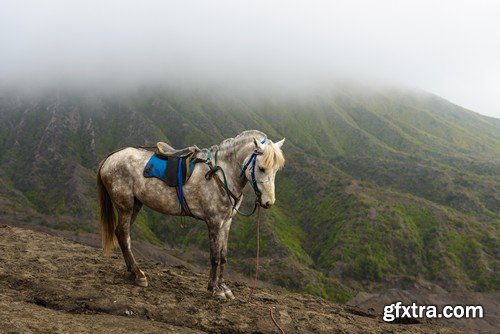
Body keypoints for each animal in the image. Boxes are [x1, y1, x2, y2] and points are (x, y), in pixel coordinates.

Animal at [96, 129, 286, 298]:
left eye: (276, 170)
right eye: (261, 168)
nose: (268, 202)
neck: (221, 174)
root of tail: (110, 158)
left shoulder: (226, 222)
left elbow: (223, 256)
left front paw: (223, 287)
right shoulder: (214, 221)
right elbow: (215, 256)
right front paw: (215, 290)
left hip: (136, 204)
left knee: (122, 234)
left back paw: (133, 272)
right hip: (125, 205)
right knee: (123, 234)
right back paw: (139, 274)